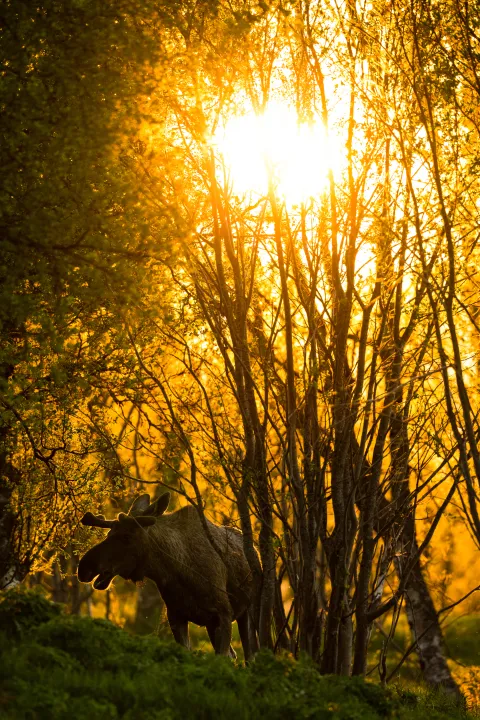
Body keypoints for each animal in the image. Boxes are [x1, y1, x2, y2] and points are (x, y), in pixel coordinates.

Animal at [77, 492, 258, 661]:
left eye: (126, 536)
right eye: (108, 533)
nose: (84, 567)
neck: (177, 569)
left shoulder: (224, 614)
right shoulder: (177, 616)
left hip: (247, 611)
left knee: (249, 655)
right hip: (212, 624)